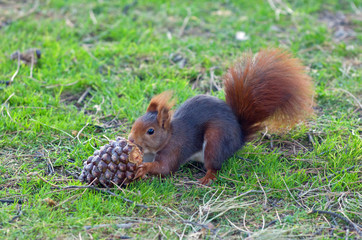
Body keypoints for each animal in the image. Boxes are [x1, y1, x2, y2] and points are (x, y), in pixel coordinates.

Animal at [128, 48, 314, 184]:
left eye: (150, 131)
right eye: (135, 123)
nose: (130, 139)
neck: (167, 138)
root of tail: (239, 138)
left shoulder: (174, 149)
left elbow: (165, 168)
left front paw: (144, 168)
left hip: (216, 141)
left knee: (214, 165)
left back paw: (207, 178)